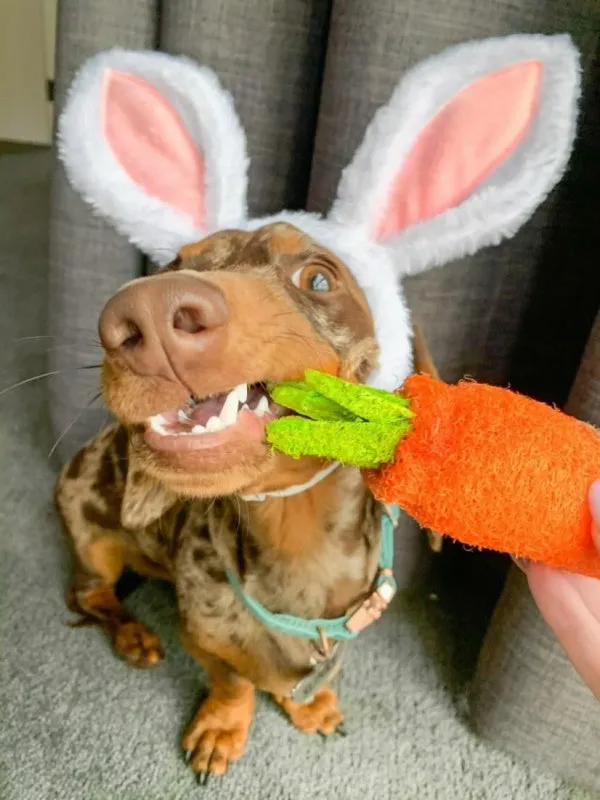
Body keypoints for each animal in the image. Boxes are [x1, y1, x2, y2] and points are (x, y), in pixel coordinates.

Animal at [54, 222, 436, 780]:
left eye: (318, 278)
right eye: (173, 266)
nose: (145, 309)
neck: (296, 540)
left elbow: (315, 674)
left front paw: (309, 704)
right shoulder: (202, 636)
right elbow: (234, 681)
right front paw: (222, 727)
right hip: (91, 541)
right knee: (89, 596)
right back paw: (133, 636)